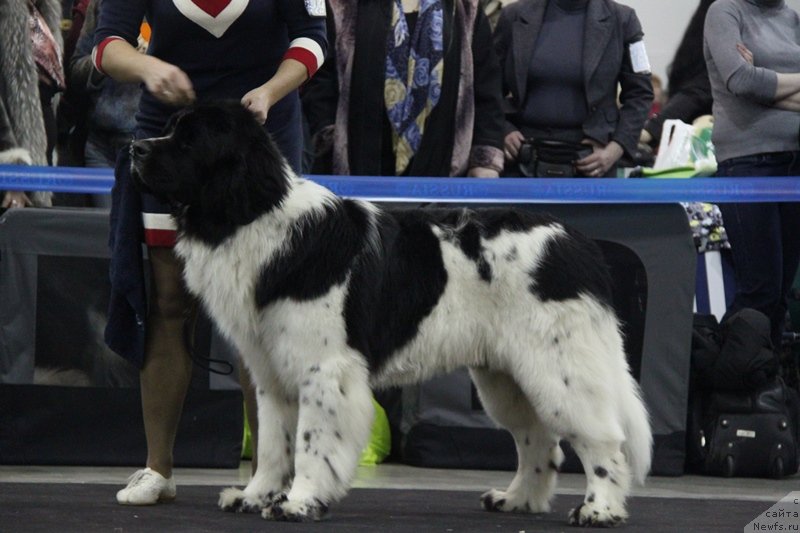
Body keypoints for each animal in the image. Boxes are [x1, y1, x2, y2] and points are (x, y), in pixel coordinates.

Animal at [126, 102, 648, 524]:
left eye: (190, 140)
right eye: (169, 129)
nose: (134, 147)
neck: (252, 215)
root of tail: (578, 244)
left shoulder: (324, 370)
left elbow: (312, 442)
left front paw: (300, 502)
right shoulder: (271, 371)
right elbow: (275, 441)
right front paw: (256, 496)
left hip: (558, 368)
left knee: (603, 440)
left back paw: (599, 510)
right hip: (506, 376)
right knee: (538, 439)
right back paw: (517, 500)